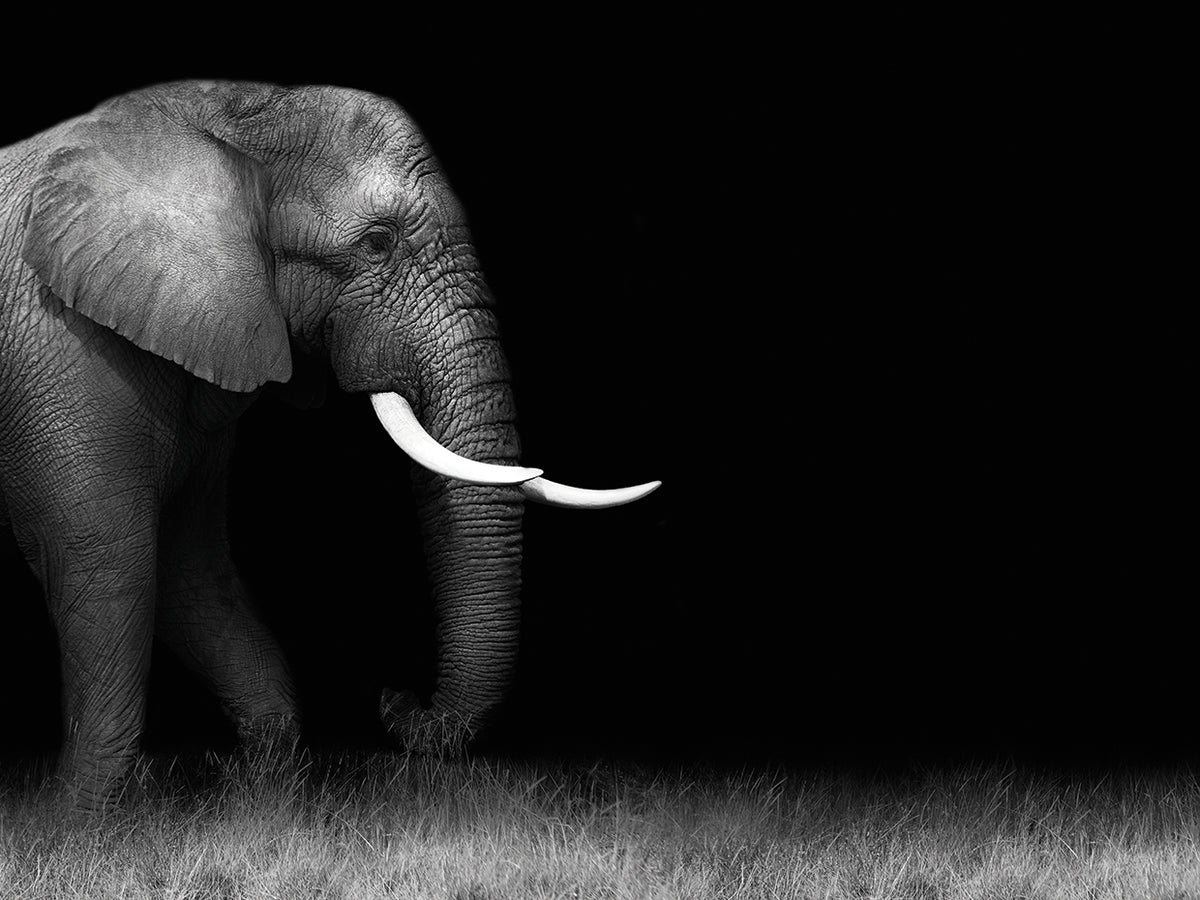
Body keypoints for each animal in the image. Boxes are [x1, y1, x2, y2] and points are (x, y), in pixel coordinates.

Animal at [0, 80, 659, 808]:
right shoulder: (65, 351)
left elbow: (187, 559)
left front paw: (262, 794)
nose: (395, 696)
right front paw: (75, 817)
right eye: (377, 242)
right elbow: (107, 555)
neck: (216, 114)